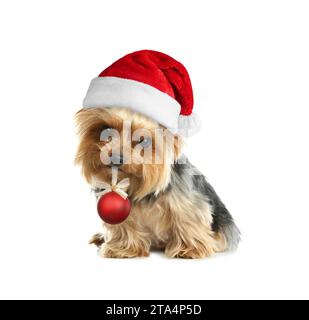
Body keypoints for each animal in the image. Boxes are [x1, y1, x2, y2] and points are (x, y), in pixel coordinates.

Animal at [75, 106, 241, 258]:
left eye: (144, 141)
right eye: (106, 130)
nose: (116, 157)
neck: (133, 182)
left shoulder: (188, 200)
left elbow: (187, 217)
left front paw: (188, 248)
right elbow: (124, 223)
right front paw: (123, 247)